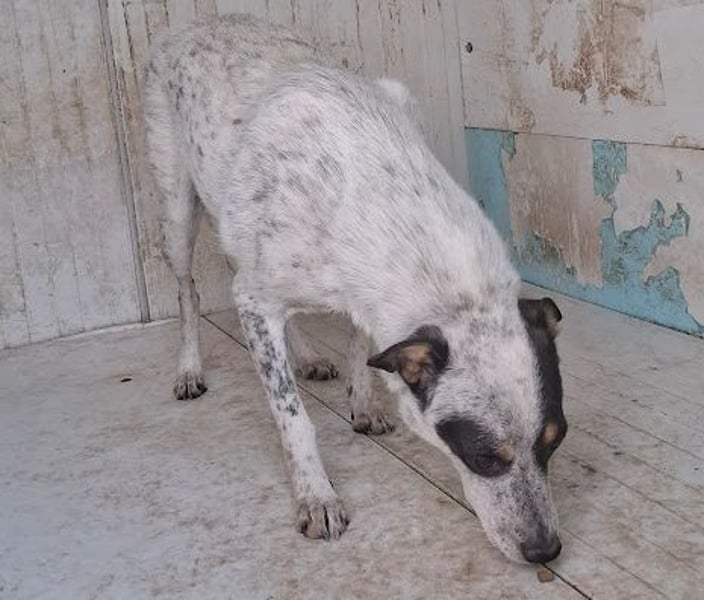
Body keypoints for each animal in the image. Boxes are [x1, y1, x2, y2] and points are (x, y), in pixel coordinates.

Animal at [143, 14, 567, 564]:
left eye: (555, 441)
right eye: (483, 457)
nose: (547, 551)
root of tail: (197, 22)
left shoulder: (357, 296)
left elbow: (358, 346)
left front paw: (362, 404)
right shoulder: (254, 300)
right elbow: (291, 414)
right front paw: (316, 496)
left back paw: (304, 355)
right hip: (177, 208)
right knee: (187, 290)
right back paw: (190, 369)